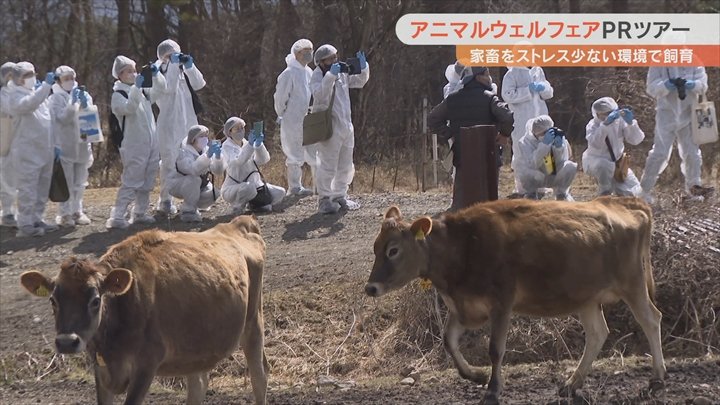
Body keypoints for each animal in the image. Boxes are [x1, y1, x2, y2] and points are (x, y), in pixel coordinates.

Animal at [23, 216, 270, 402]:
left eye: (95, 300)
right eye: (53, 300)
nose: (66, 342)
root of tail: (236, 224)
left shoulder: (146, 365)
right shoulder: (101, 371)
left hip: (253, 323)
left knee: (259, 377)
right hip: (196, 349)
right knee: (198, 385)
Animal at [368, 197, 668, 402]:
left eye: (393, 250)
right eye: (375, 248)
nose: (370, 288)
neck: (463, 246)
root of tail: (624, 202)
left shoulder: (502, 302)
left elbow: (495, 349)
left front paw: (492, 389)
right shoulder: (465, 307)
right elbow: (448, 340)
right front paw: (476, 375)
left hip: (633, 284)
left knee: (651, 320)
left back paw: (657, 377)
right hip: (587, 297)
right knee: (597, 333)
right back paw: (572, 383)